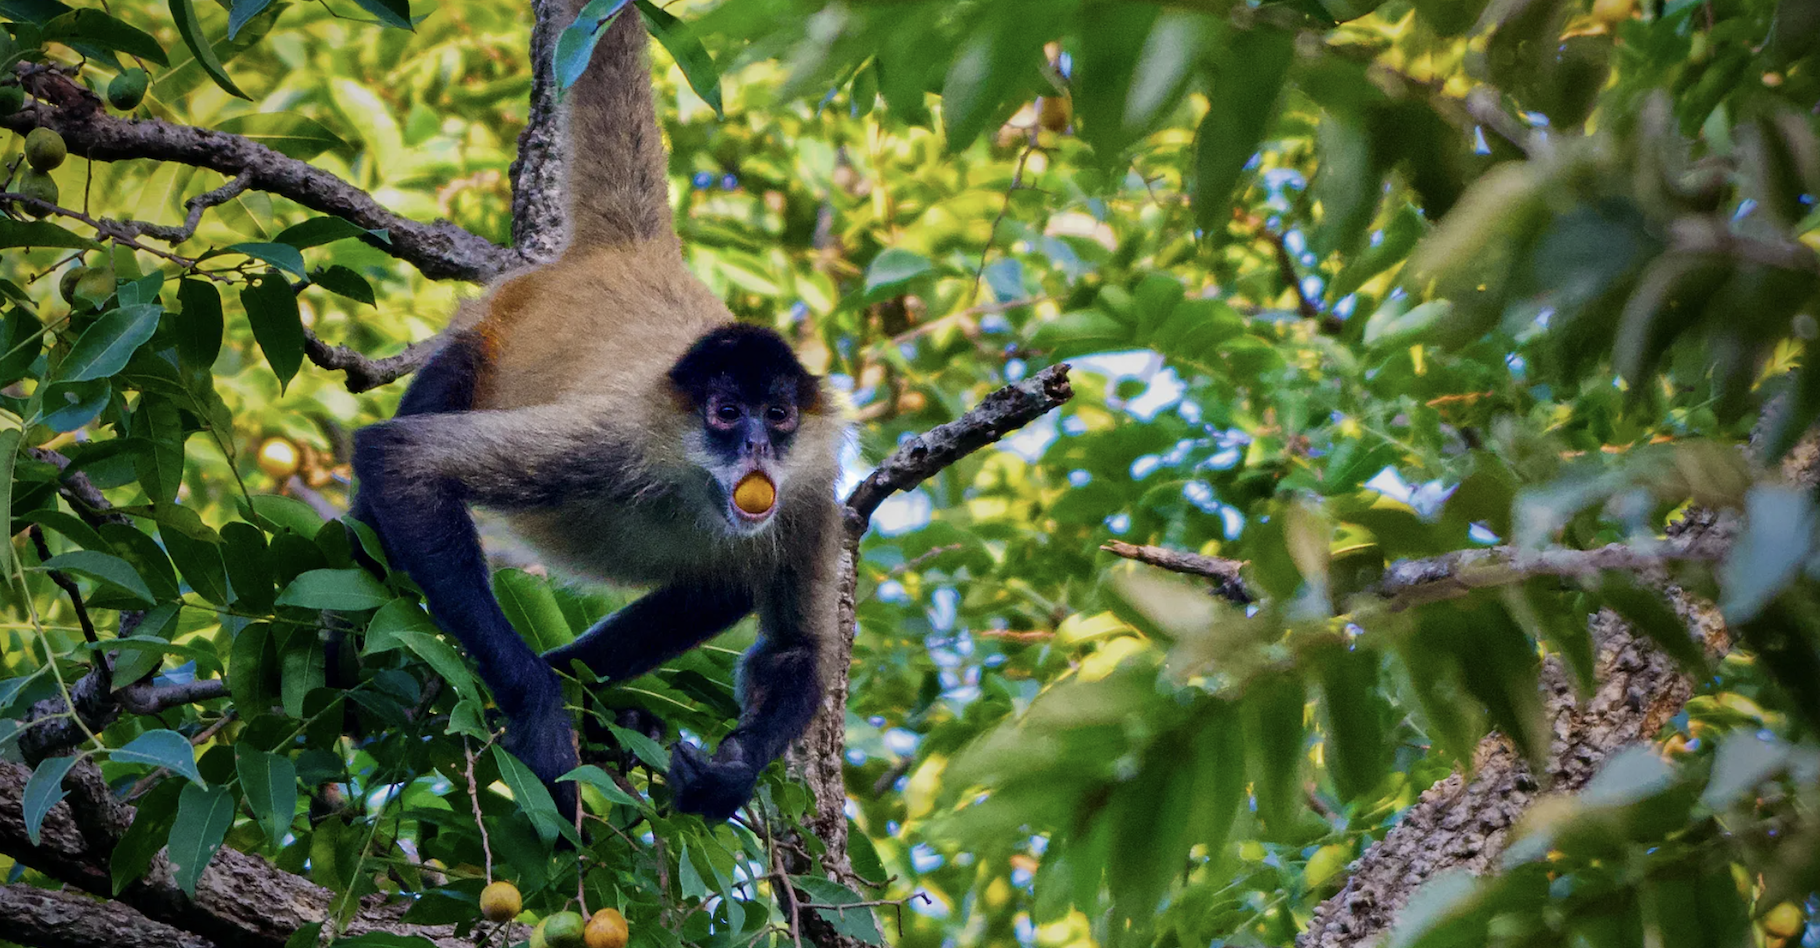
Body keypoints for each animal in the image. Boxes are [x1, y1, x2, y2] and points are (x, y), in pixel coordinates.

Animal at [351, 1, 848, 818]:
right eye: (725, 412)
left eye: (777, 416)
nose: (755, 447)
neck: (695, 486)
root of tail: (631, 253)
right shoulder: (615, 439)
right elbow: (401, 461)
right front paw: (539, 706)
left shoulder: (808, 492)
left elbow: (793, 650)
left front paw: (730, 774)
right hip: (485, 337)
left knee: (721, 582)